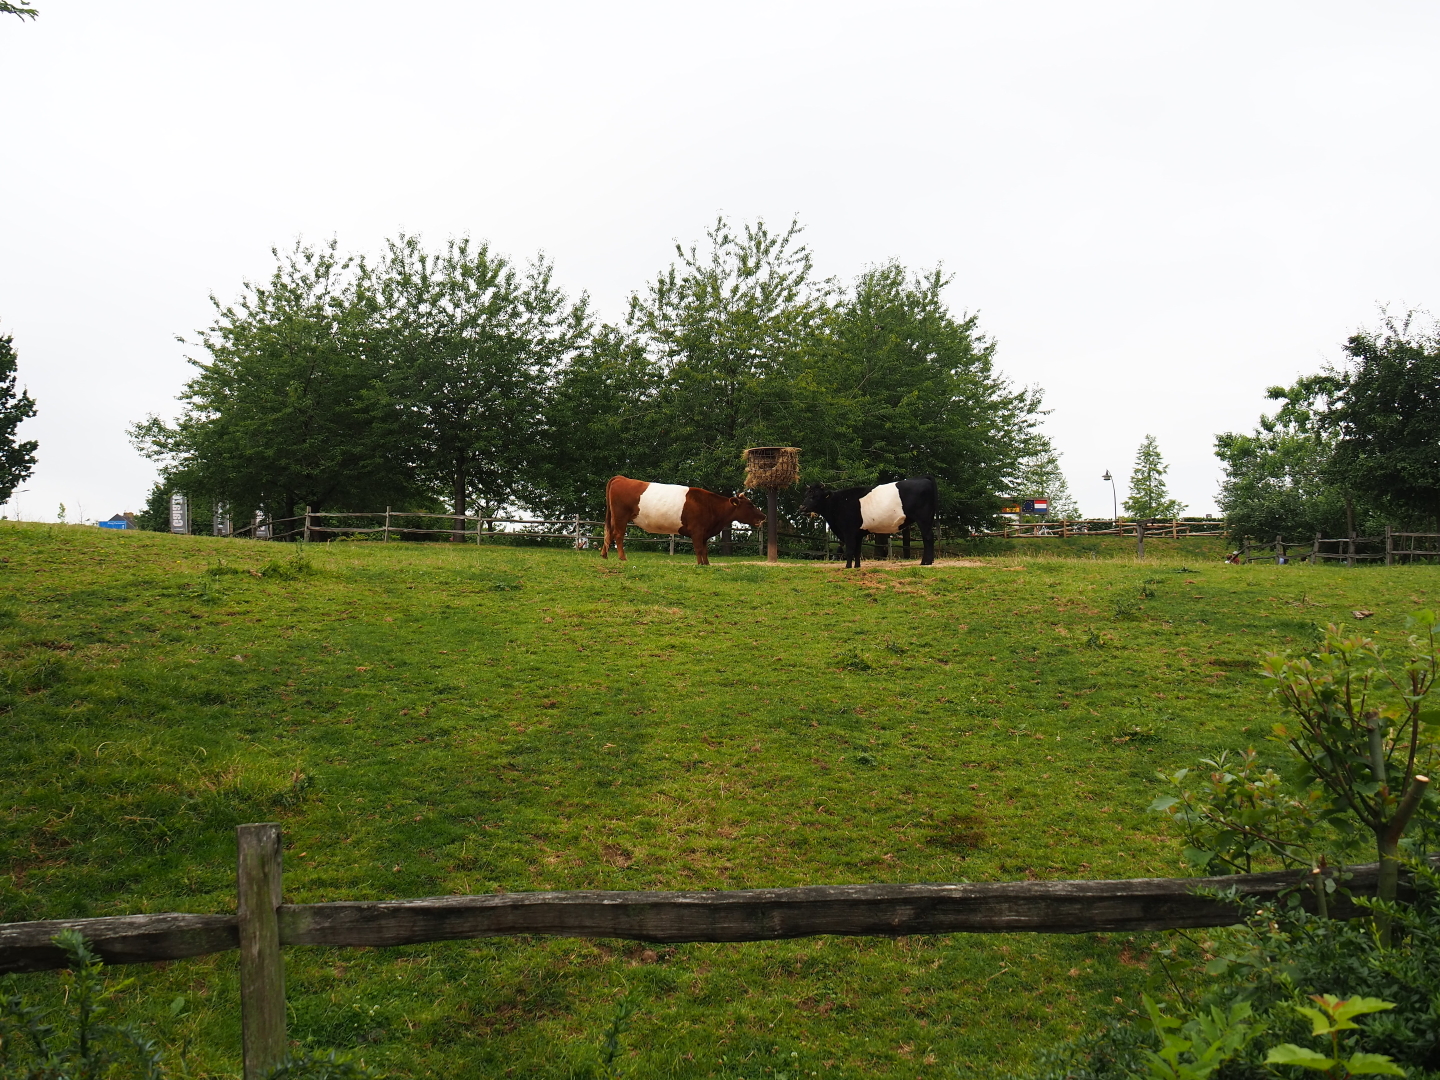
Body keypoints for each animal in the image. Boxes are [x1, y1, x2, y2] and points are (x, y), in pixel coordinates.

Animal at [601, 476, 766, 566]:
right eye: (750, 505)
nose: (764, 516)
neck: (710, 506)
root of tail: (621, 478)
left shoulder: (705, 533)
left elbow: (705, 550)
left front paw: (707, 564)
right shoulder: (697, 531)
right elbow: (699, 549)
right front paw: (700, 564)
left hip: (613, 517)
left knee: (608, 533)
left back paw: (604, 555)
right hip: (621, 516)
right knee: (618, 535)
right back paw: (622, 557)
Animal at [799, 476, 937, 568]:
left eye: (815, 496)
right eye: (806, 494)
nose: (802, 507)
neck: (838, 502)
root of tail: (925, 479)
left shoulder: (849, 531)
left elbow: (850, 550)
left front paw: (847, 567)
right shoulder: (858, 533)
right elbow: (857, 551)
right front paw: (857, 566)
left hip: (923, 519)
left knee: (928, 538)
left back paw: (925, 562)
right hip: (929, 518)